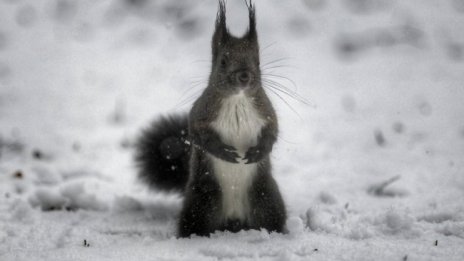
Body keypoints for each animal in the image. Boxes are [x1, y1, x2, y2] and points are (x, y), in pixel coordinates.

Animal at [134, 0, 286, 237]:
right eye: (223, 61)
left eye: (258, 61)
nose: (244, 76)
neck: (237, 100)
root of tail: (234, 221)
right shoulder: (200, 113)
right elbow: (199, 135)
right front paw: (224, 152)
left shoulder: (266, 111)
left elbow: (273, 131)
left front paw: (258, 151)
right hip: (201, 201)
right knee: (194, 223)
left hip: (266, 198)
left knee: (271, 219)